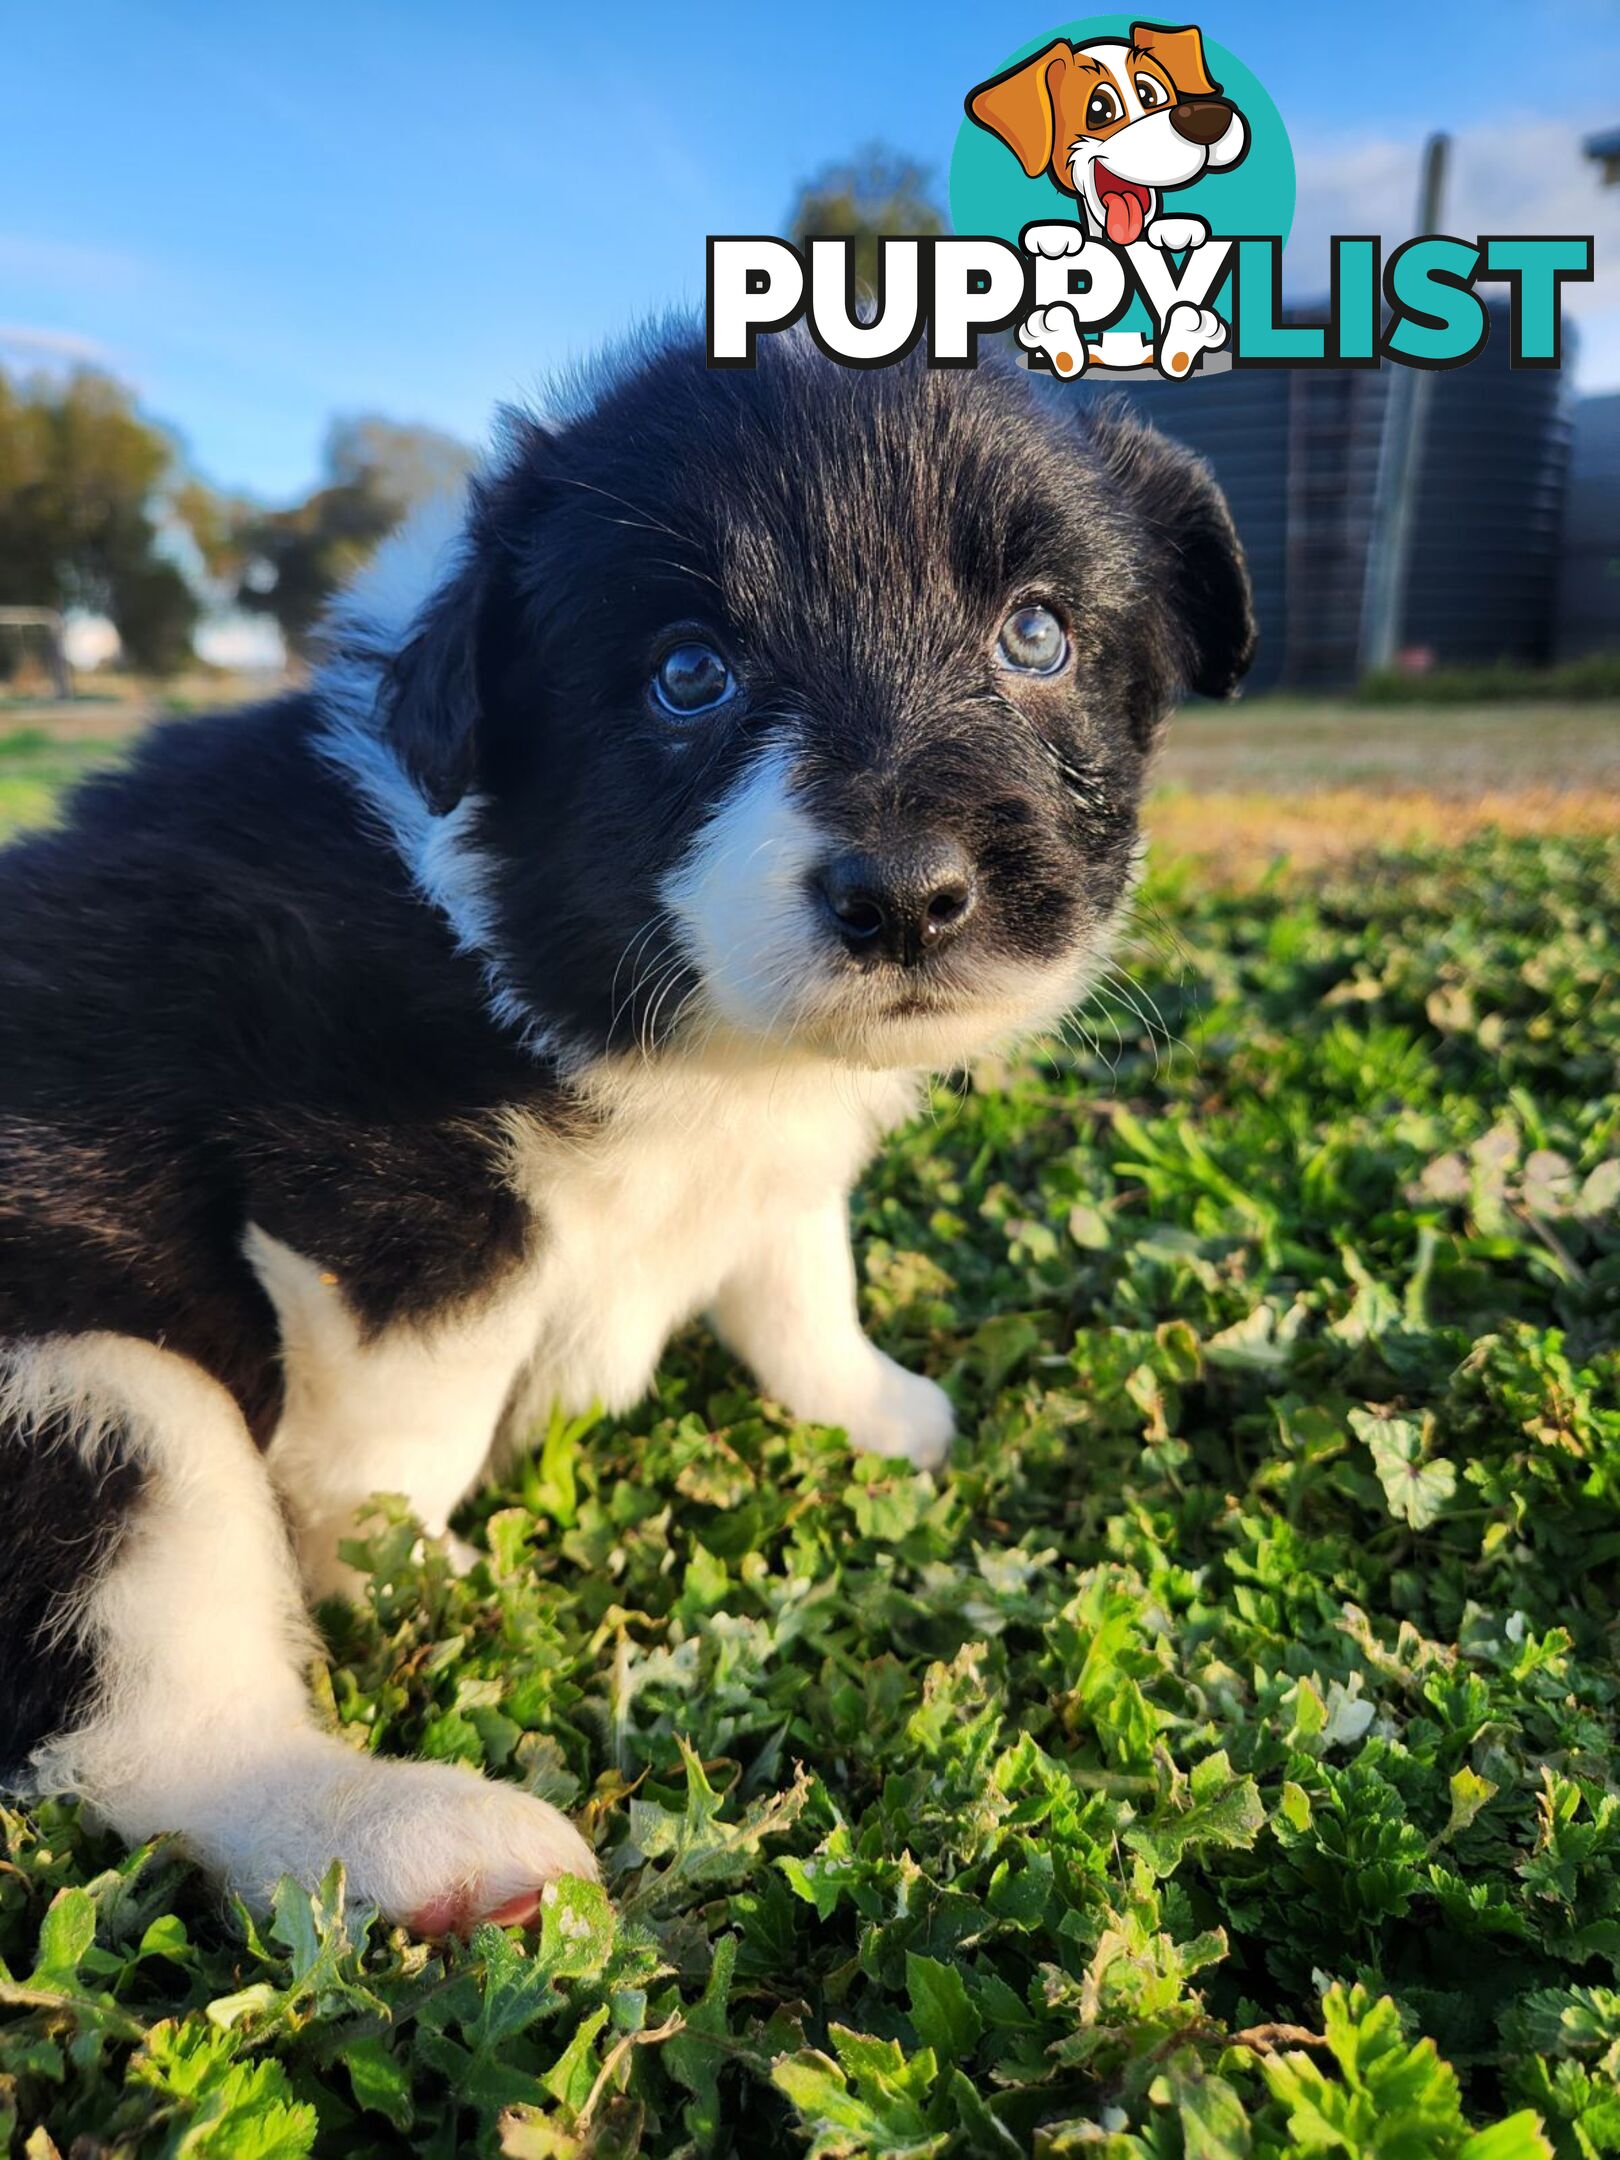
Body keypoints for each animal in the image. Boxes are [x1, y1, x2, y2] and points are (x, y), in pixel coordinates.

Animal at [0, 332, 1252, 1926]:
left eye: (1036, 635)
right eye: (688, 676)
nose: (908, 900)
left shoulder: (770, 1160)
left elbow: (799, 1278)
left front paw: (875, 1405)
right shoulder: (371, 1191)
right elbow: (408, 1426)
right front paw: (410, 1573)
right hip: (99, 1399)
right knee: (161, 1734)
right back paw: (422, 1843)